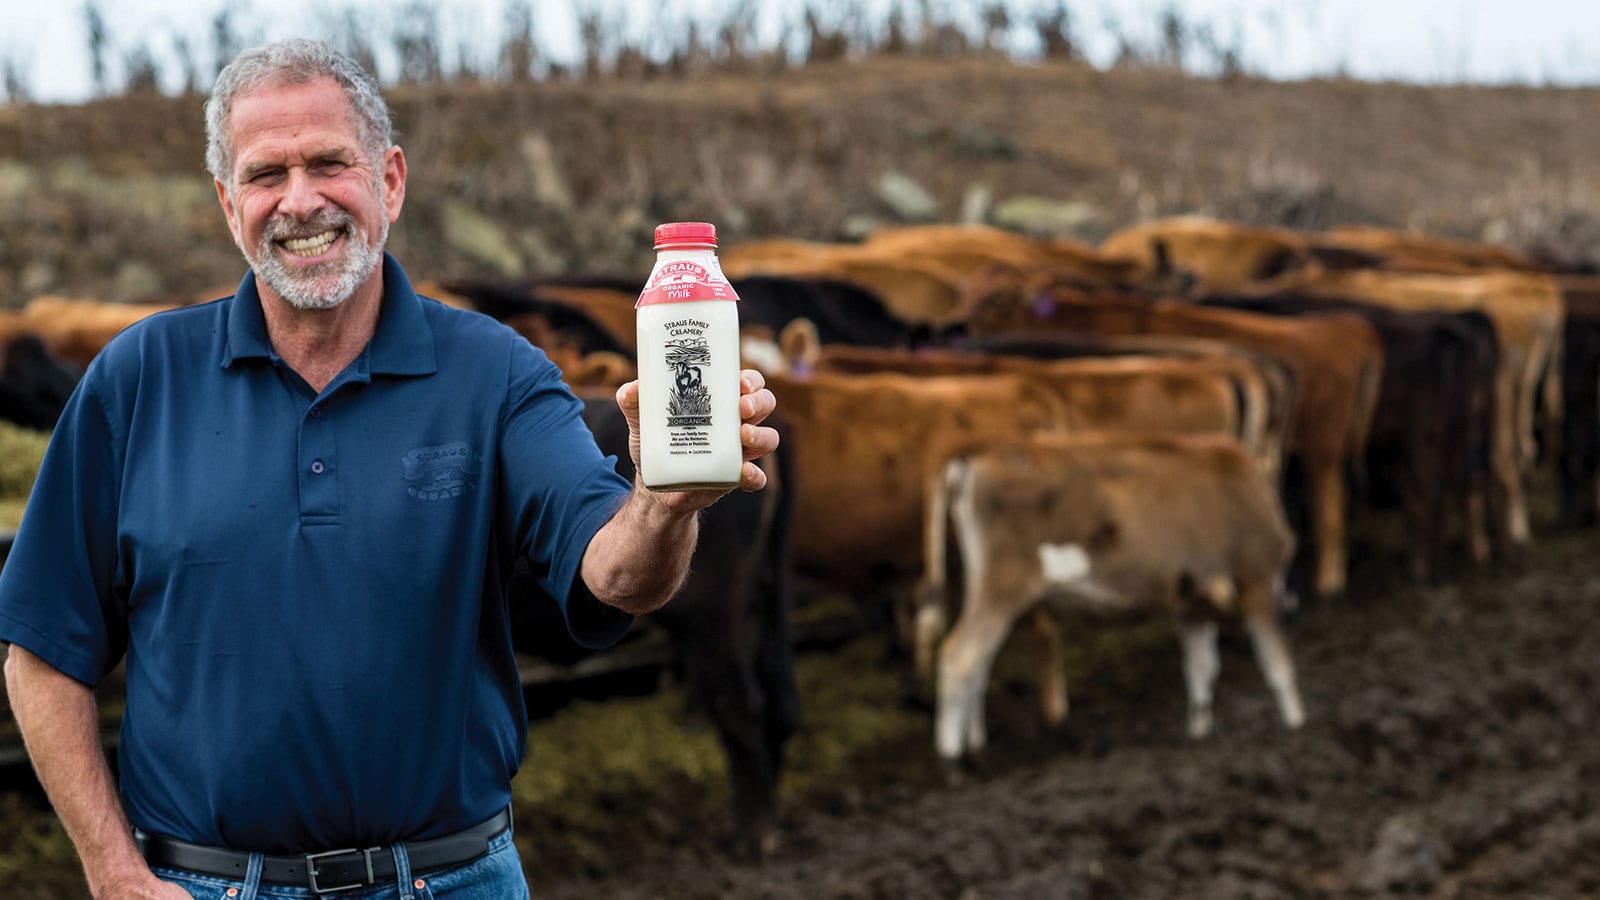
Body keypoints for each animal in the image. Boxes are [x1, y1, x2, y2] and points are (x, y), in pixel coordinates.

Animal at [921, 429, 1305, 762]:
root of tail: (979, 451)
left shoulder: (1191, 600)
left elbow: (1202, 668)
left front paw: (1199, 733)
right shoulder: (1256, 577)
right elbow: (1279, 664)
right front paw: (1297, 727)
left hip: (988, 586)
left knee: (980, 661)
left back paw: (977, 747)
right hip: (1005, 584)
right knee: (959, 657)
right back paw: (951, 759)